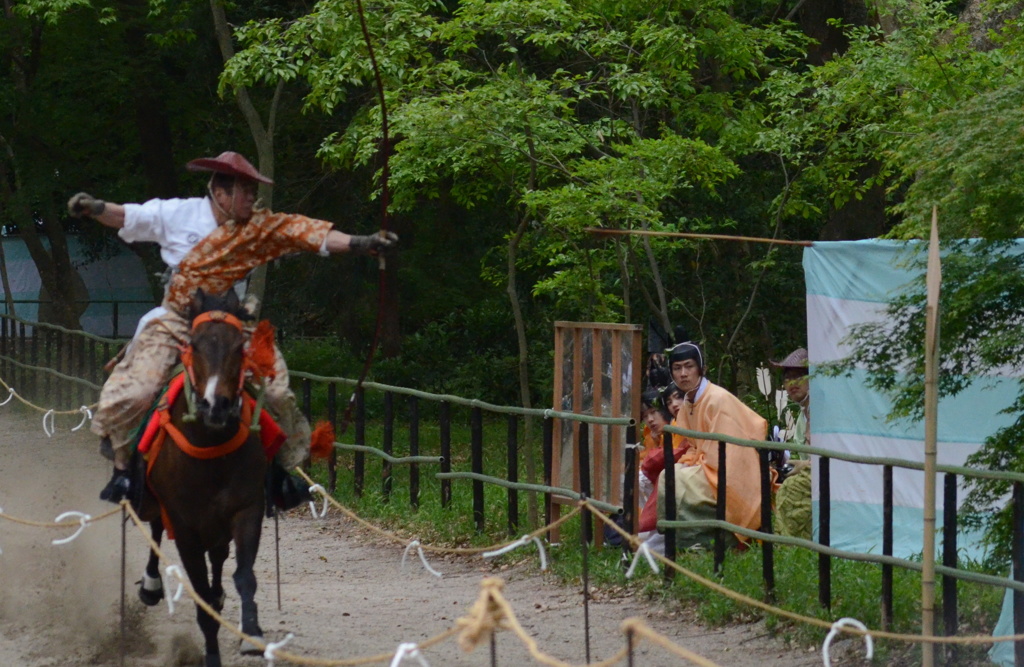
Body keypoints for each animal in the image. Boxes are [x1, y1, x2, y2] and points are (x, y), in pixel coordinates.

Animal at [134, 290, 266, 667]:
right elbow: (202, 598)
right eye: (194, 344)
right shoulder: (185, 525)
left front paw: (251, 633)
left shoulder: (247, 510)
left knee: (219, 556)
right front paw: (211, 654)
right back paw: (151, 585)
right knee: (156, 528)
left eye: (239, 346)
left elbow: (244, 576)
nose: (215, 405)